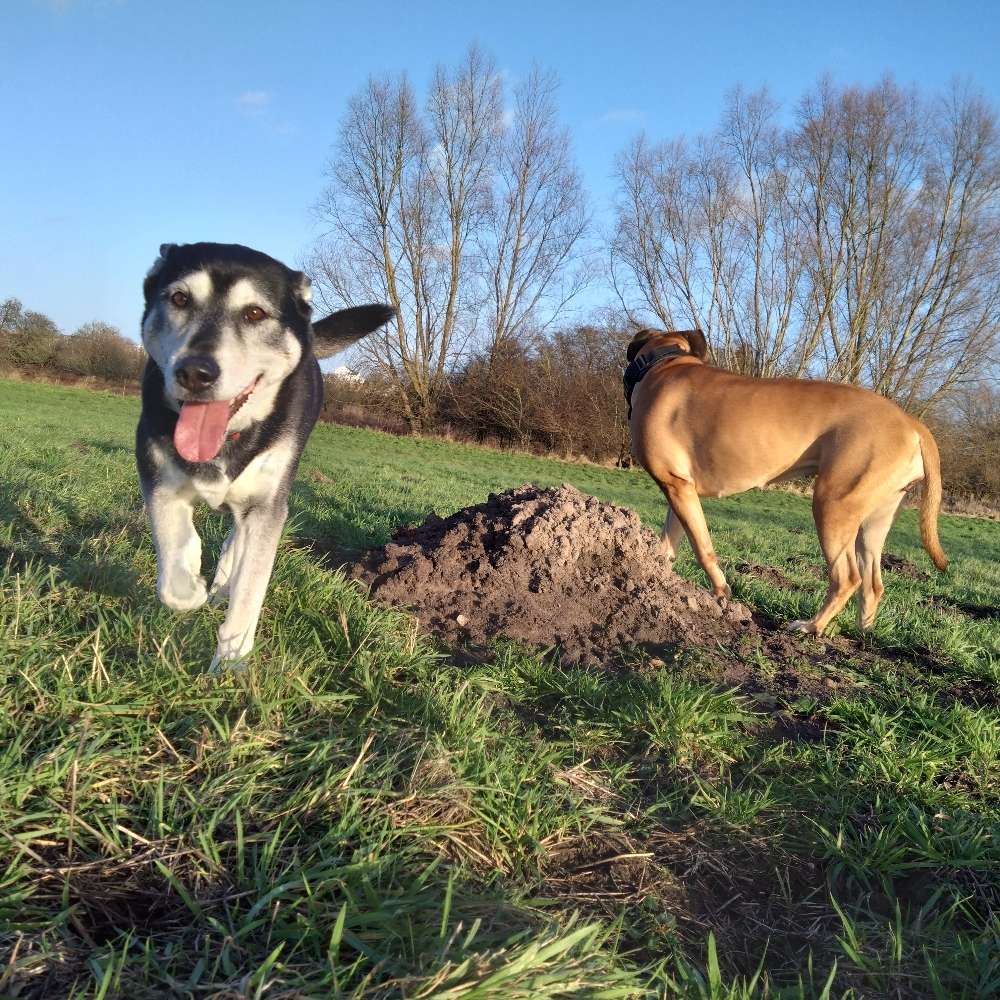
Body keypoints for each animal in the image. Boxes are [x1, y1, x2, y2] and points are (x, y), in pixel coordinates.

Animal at [135, 238, 392, 668]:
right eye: (180, 299)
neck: (230, 436)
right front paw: (191, 584)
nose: (195, 373)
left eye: (254, 313)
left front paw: (230, 664)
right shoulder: (157, 474)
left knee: (237, 540)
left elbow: (250, 590)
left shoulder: (268, 504)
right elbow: (174, 555)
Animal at [624, 328, 944, 632]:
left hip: (833, 504)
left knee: (847, 578)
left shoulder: (676, 486)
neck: (664, 361)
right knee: (872, 584)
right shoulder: (680, 488)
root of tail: (911, 422)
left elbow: (704, 549)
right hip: (875, 520)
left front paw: (721, 593)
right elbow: (667, 544)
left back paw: (812, 626)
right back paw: (863, 632)